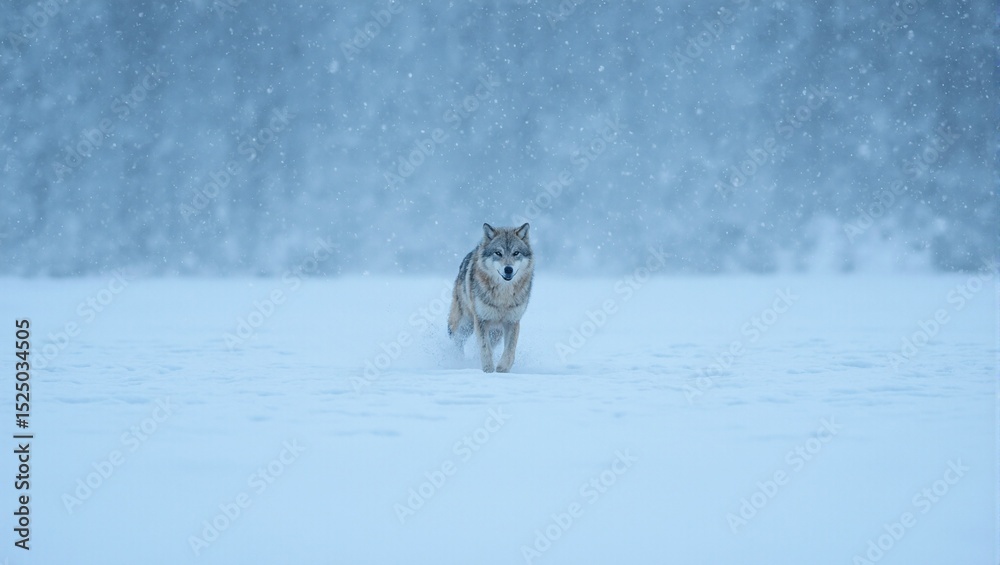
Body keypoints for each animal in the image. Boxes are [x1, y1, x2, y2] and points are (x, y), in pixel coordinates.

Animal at [448, 223, 534, 373]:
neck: (503, 296)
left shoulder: (512, 321)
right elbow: (484, 347)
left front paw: (502, 369)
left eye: (516, 253)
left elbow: (510, 350)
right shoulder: (481, 320)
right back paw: (458, 361)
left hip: (496, 333)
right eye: (498, 253)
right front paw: (488, 369)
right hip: (465, 324)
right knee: (457, 341)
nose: (508, 269)